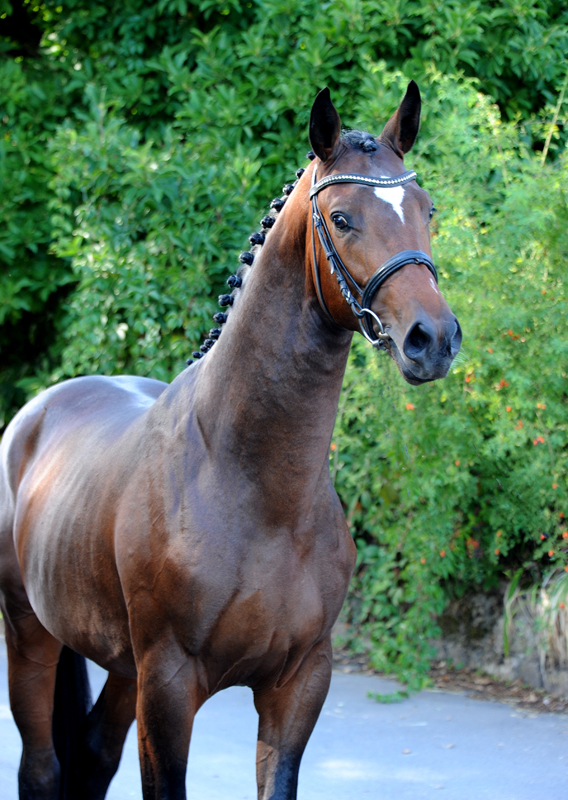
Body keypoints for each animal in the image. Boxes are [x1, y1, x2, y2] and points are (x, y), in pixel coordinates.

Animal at [0, 83, 462, 800]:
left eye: (426, 209)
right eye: (341, 218)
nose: (432, 339)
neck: (256, 493)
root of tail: (37, 411)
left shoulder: (298, 685)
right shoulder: (169, 689)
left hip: (120, 666)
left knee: (94, 757)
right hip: (30, 635)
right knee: (43, 769)